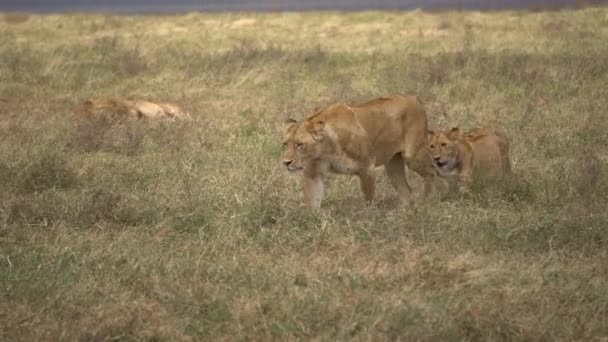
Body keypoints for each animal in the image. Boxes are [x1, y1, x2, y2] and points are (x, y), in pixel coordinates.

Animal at [282, 92, 434, 208]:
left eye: (299, 145)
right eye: (285, 144)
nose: (286, 162)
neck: (325, 150)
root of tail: (414, 98)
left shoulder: (367, 167)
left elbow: (369, 199)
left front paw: (369, 218)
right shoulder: (313, 173)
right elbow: (312, 201)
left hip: (413, 156)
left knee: (431, 172)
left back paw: (430, 200)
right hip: (393, 164)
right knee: (406, 190)